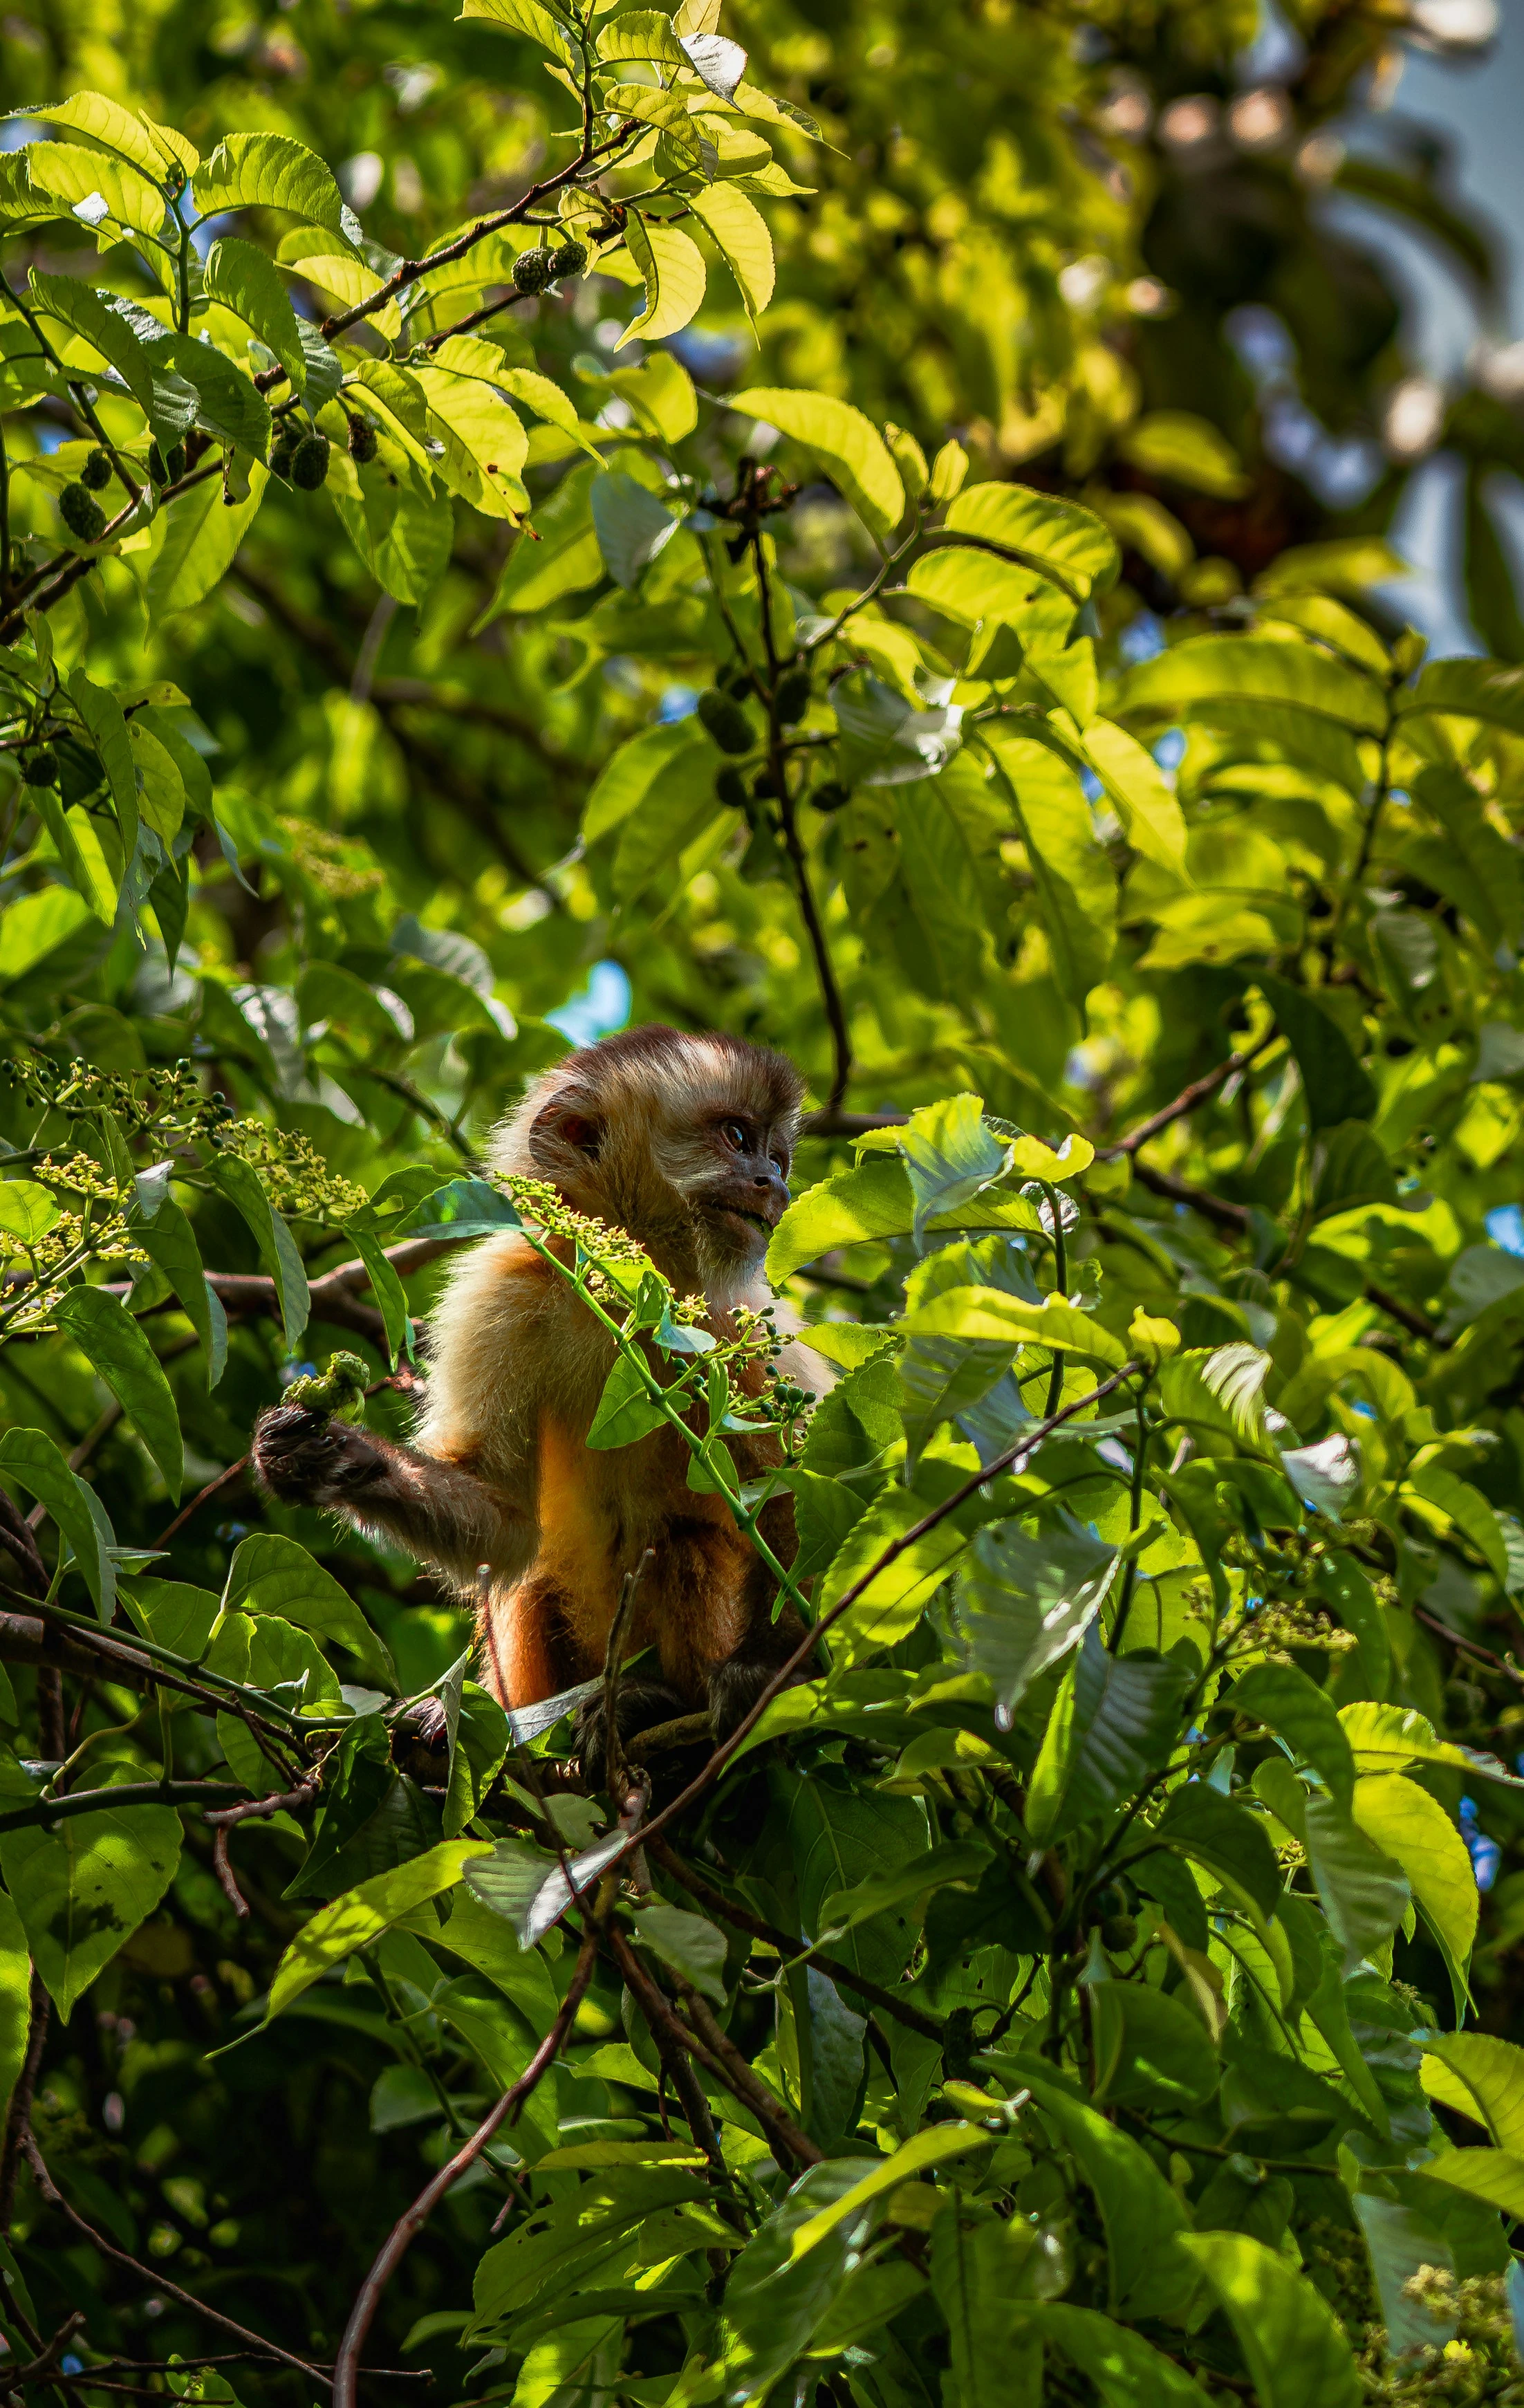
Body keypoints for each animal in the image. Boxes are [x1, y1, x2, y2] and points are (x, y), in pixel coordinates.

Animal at [251, 1024, 817, 1760]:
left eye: (777, 1156)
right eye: (738, 1137)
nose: (773, 1182)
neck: (626, 1292)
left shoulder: (741, 1318)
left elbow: (794, 1490)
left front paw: (764, 1672)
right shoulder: (505, 1291)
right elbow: (508, 1523)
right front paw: (334, 1457)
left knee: (683, 1544)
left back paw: (650, 1704)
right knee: (531, 1579)